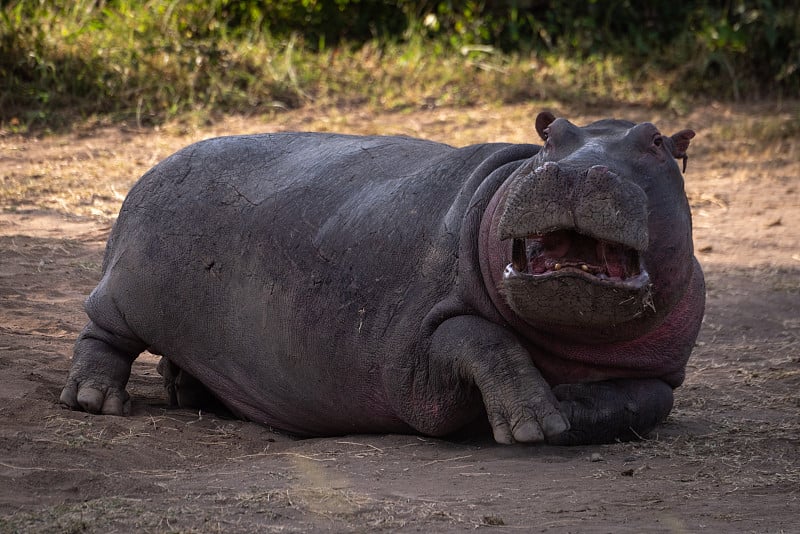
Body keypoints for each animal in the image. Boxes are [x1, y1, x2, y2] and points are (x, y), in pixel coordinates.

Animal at [59, 113, 704, 448]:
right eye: (551, 134)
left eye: (658, 141)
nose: (574, 172)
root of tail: (152, 167)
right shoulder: (411, 357)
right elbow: (478, 337)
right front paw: (534, 422)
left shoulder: (660, 371)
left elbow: (648, 401)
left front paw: (566, 407)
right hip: (126, 292)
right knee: (101, 332)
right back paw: (95, 400)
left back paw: (187, 391)